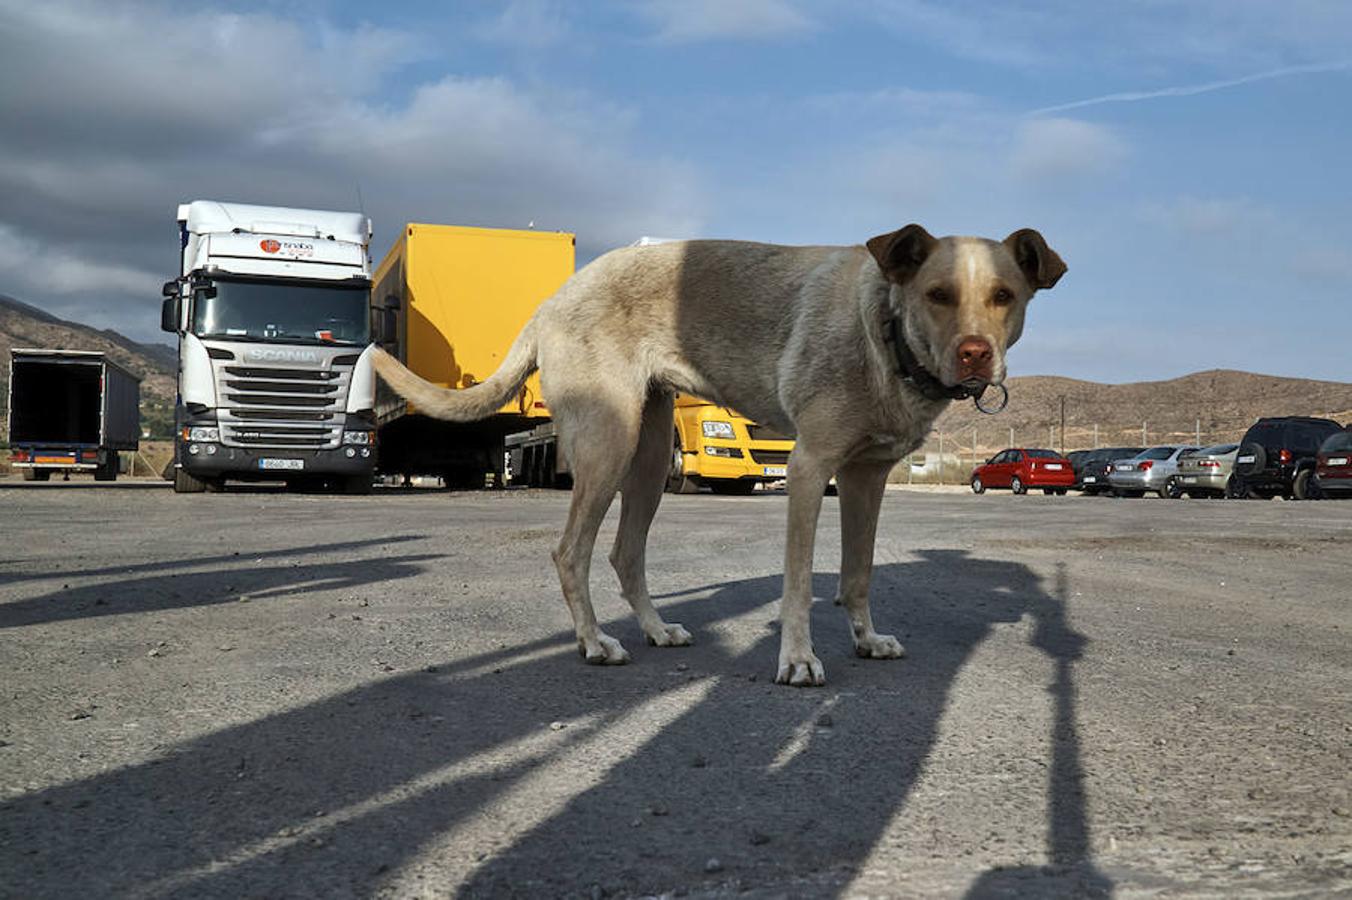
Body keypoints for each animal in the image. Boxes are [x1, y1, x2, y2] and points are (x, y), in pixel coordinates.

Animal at [373, 222, 1065, 681]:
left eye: (1004, 296)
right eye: (938, 294)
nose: (977, 355)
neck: (884, 329)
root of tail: (550, 303)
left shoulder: (866, 477)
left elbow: (859, 573)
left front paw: (867, 640)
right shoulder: (809, 468)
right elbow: (797, 581)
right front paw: (798, 659)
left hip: (649, 452)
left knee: (625, 552)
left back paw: (656, 630)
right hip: (609, 441)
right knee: (571, 551)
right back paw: (595, 643)